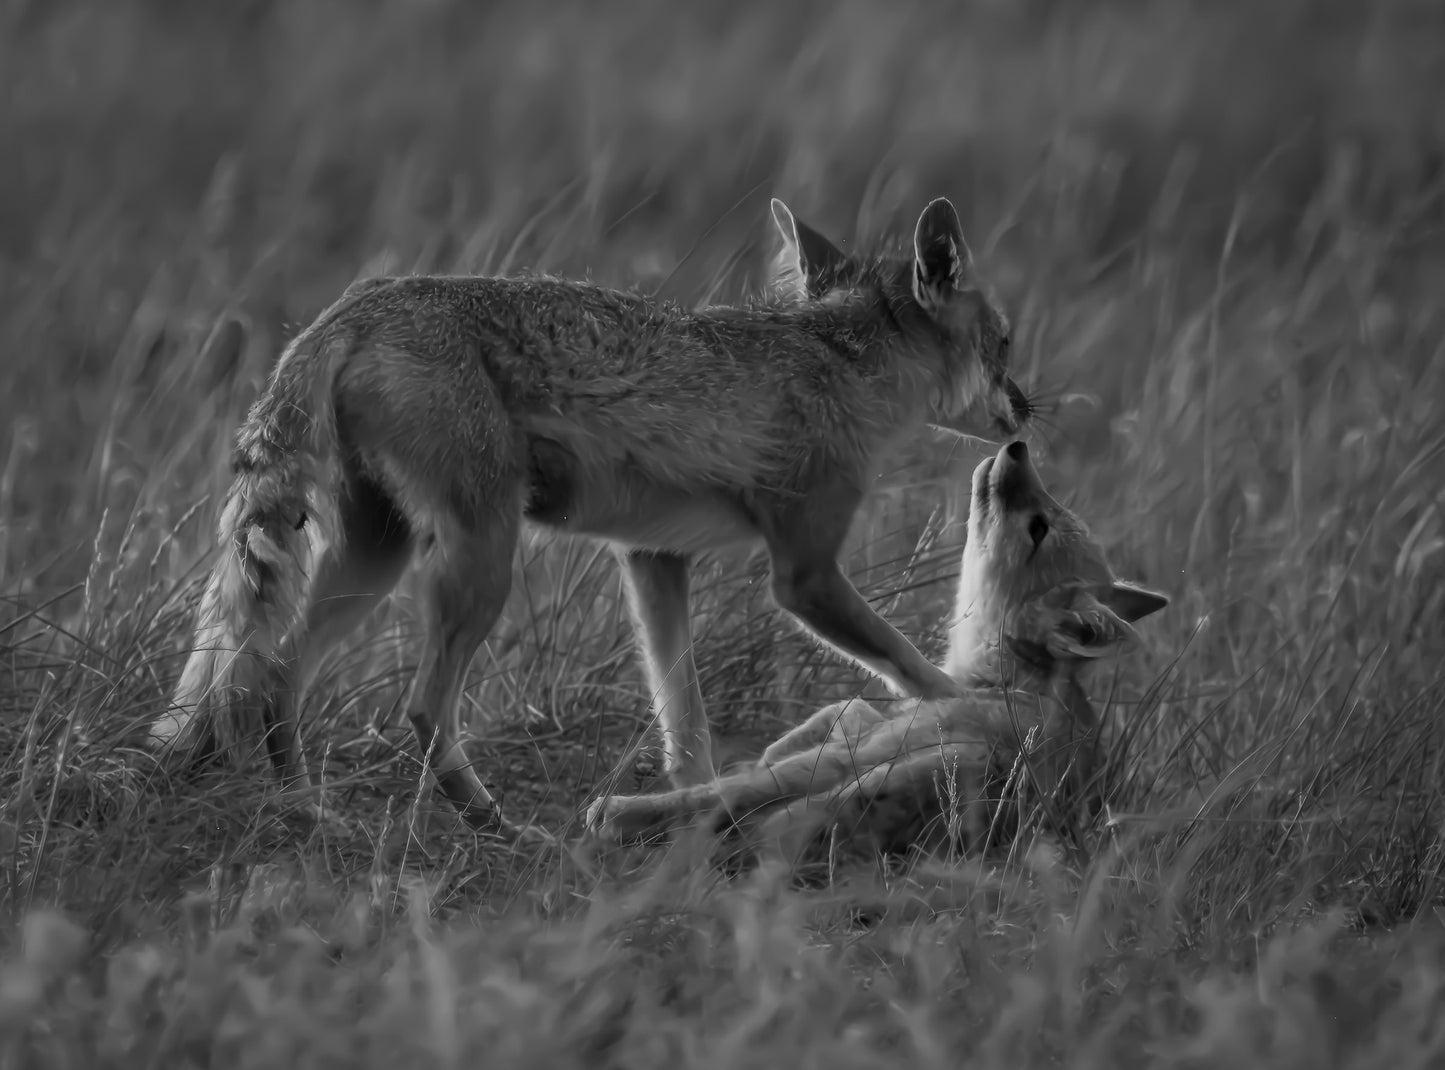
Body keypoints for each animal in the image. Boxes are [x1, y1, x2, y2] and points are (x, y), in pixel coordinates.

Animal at [147, 196, 1031, 838]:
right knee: (420, 707)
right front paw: (980, 715)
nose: (1029, 414)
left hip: (378, 556)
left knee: (274, 676)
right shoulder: (804, 576)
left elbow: (685, 727)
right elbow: (915, 669)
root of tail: (361, 301)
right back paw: (494, 826)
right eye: (1005, 345)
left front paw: (694, 807)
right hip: (480, 563)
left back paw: (307, 811)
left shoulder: (652, 559)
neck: (839, 364)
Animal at [587, 439, 1170, 869]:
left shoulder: (869, 744)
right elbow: (840, 709)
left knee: (723, 806)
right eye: (1048, 515)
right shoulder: (872, 722)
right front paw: (774, 745)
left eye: (1038, 529)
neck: (1003, 681)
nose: (1018, 444)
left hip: (878, 765)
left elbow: (729, 785)